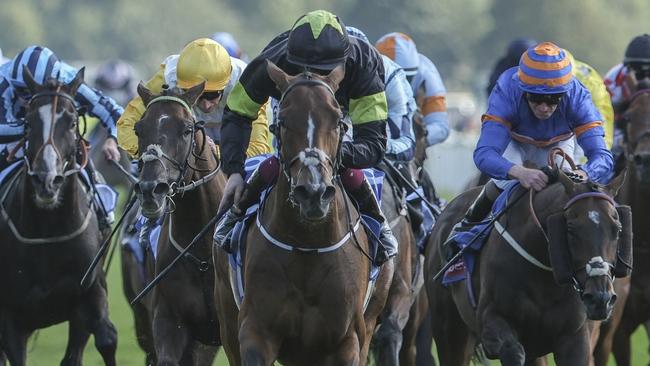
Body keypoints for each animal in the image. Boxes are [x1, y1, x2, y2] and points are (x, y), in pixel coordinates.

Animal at [426, 167, 628, 364]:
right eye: (570, 228)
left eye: (617, 229)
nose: (600, 298)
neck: (545, 278)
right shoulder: (491, 320)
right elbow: (512, 351)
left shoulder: (574, 336)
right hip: (449, 329)